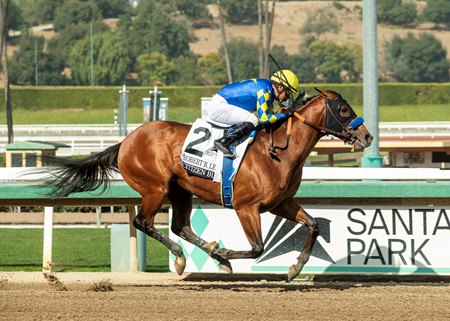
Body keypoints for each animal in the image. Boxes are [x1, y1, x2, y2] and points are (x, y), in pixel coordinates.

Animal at [44, 88, 372, 280]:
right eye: (343, 110)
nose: (367, 136)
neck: (280, 150)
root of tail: (126, 141)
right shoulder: (246, 207)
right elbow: (257, 248)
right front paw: (225, 255)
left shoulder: (280, 203)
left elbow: (313, 224)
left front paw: (294, 268)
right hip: (155, 188)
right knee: (143, 222)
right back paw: (181, 259)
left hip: (180, 191)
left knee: (180, 226)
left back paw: (200, 253)